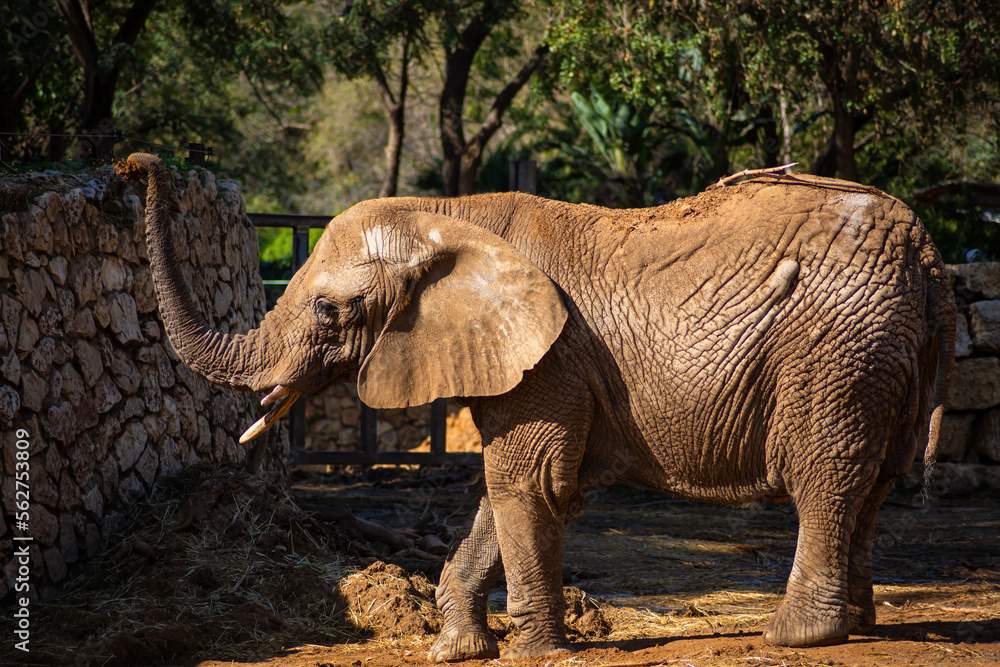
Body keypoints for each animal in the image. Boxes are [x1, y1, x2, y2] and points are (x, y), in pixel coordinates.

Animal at [119, 153, 954, 660]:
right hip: (882, 355)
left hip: (838, 350)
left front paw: (534, 652)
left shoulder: (549, 357)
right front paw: (455, 649)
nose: (137, 164)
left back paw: (794, 635)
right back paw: (857, 624)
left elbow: (526, 480)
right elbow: (502, 488)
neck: (448, 213)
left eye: (328, 310)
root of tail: (930, 253)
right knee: (874, 482)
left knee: (826, 475)